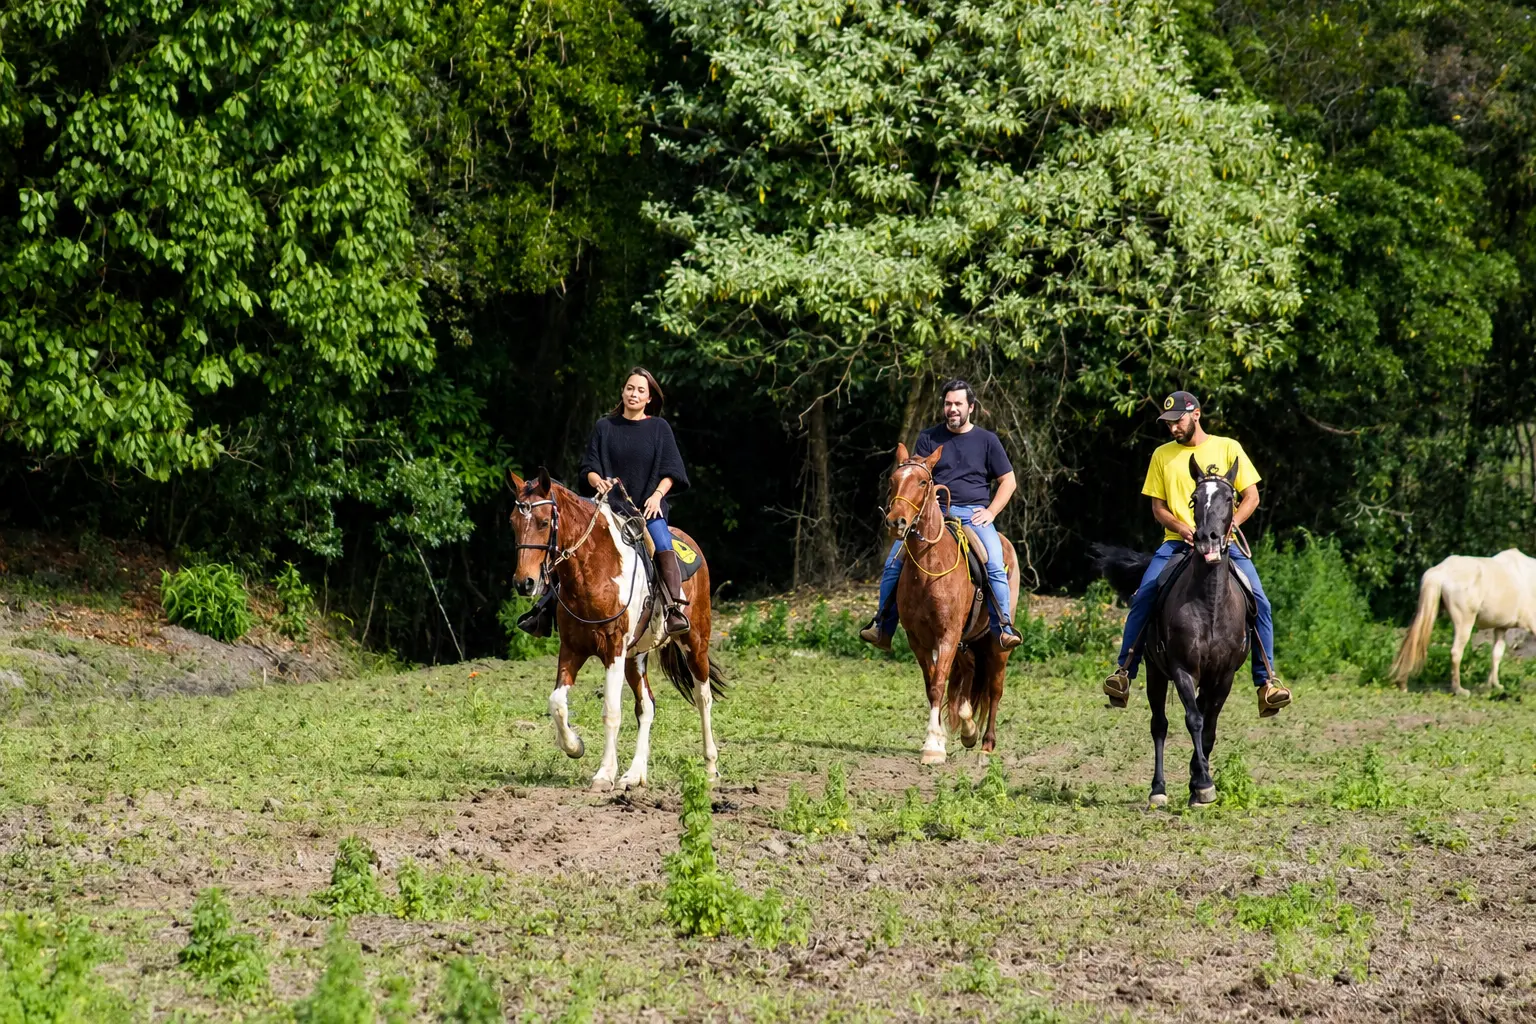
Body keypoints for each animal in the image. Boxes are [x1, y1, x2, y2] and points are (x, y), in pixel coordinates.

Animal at [508, 469, 724, 790]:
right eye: (513, 522)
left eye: (544, 522)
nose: (525, 583)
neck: (594, 571)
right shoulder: (572, 649)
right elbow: (557, 702)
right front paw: (575, 746)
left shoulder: (614, 649)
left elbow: (611, 711)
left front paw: (604, 773)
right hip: (635, 658)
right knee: (647, 705)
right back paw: (634, 774)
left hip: (694, 642)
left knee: (702, 697)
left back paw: (710, 767)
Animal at [882, 443, 1021, 765]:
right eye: (893, 481)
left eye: (923, 482)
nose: (896, 522)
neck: (928, 565)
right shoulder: (919, 640)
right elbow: (932, 684)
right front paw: (940, 739)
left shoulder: (947, 635)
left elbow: (938, 683)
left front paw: (933, 745)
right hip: (965, 641)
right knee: (968, 673)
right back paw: (968, 727)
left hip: (997, 645)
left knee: (995, 689)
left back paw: (986, 745)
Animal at [1093, 456, 1248, 808]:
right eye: (1195, 499)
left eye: (1229, 498)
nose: (1206, 538)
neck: (1210, 605)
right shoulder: (1182, 669)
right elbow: (1193, 720)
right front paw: (1203, 784)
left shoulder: (1224, 676)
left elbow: (1209, 727)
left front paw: (1197, 782)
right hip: (1154, 672)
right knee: (1159, 725)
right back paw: (1158, 790)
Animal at [1390, 549, 1536, 696]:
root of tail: (1441, 570)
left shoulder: (1501, 628)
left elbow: (1496, 654)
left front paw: (1494, 685)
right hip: (1465, 622)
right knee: (1456, 652)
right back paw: (1459, 690)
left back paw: (1402, 683)